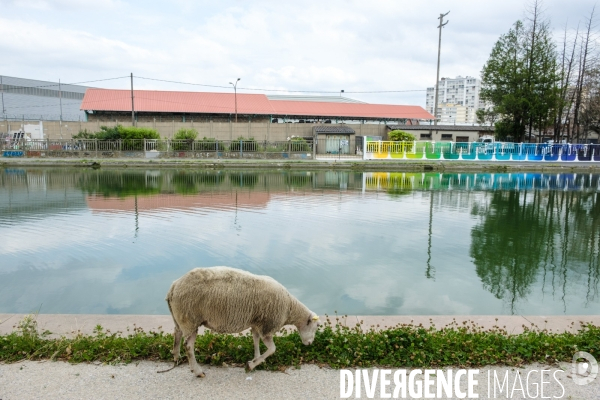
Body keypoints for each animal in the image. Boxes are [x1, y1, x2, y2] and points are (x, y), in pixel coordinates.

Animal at [164, 268, 322, 376]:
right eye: (316, 327)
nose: (310, 343)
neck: (289, 307)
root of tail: (173, 287)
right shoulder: (267, 326)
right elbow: (272, 349)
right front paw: (251, 365)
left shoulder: (257, 324)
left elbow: (255, 341)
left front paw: (256, 360)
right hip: (189, 318)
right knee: (189, 346)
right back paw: (197, 371)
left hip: (180, 318)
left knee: (177, 334)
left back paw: (176, 357)